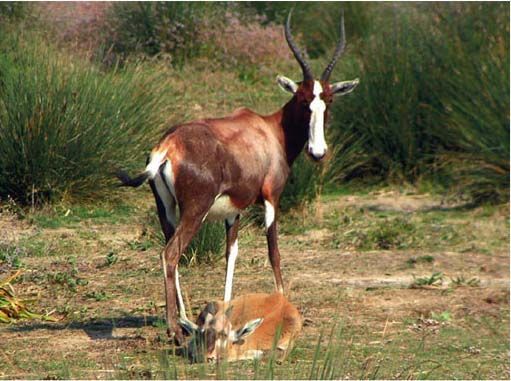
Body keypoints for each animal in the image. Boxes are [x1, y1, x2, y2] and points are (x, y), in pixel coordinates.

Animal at [117, 8, 358, 342]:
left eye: (329, 101)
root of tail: (169, 145)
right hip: (195, 211)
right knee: (171, 254)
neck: (268, 130)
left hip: (166, 210)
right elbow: (273, 251)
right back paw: (174, 331)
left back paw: (185, 322)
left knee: (171, 253)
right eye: (302, 99)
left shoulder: (234, 211)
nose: (318, 152)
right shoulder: (271, 199)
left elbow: (231, 254)